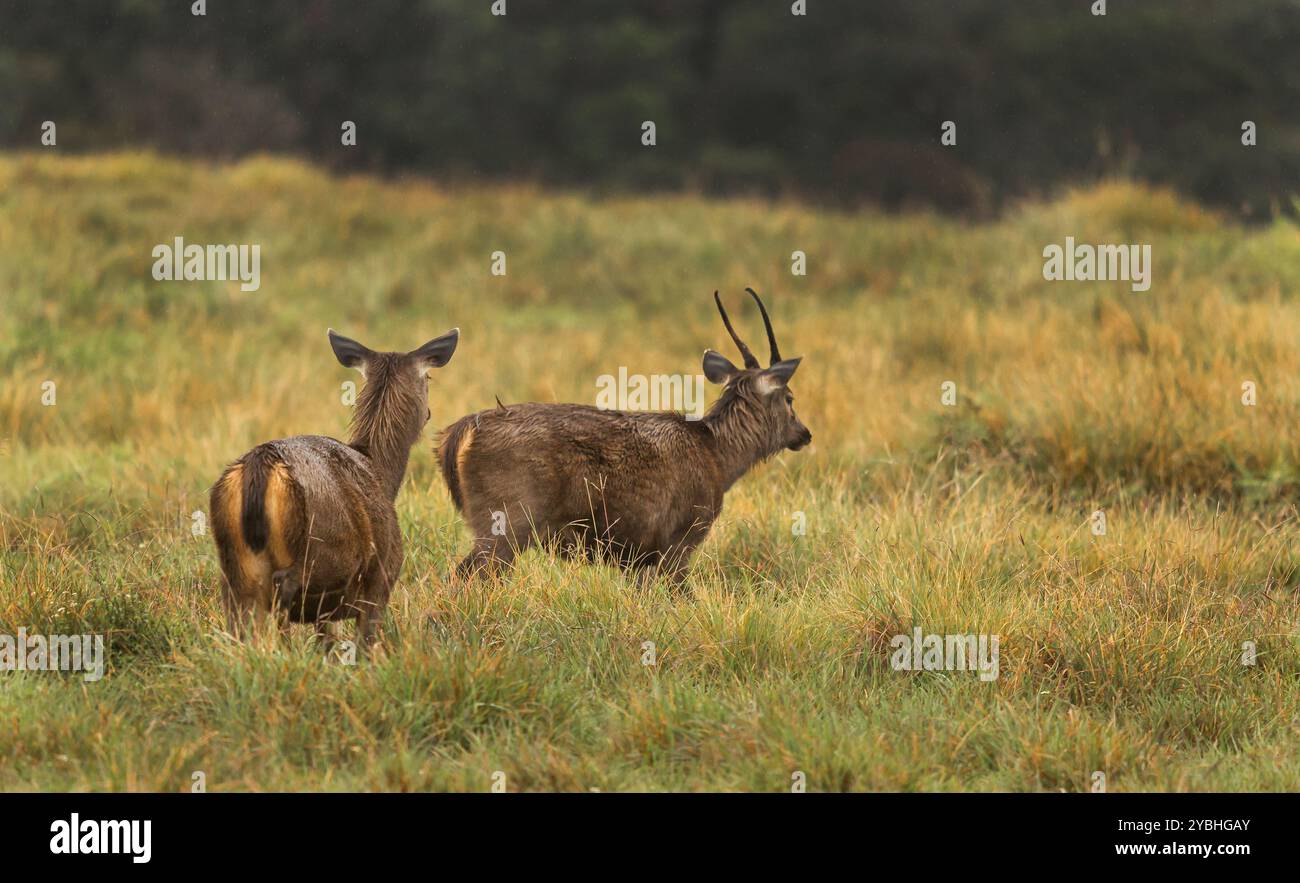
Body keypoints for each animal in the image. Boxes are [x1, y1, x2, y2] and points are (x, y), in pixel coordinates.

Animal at [208, 325, 457, 650]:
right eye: (428, 378)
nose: (429, 413)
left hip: (234, 567)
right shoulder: (381, 579)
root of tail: (259, 466)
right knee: (283, 595)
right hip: (321, 555)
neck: (381, 474)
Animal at [441, 289, 806, 590]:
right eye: (790, 398)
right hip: (505, 521)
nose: (805, 433)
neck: (718, 458)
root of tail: (467, 427)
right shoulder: (679, 539)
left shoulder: (640, 557)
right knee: (465, 575)